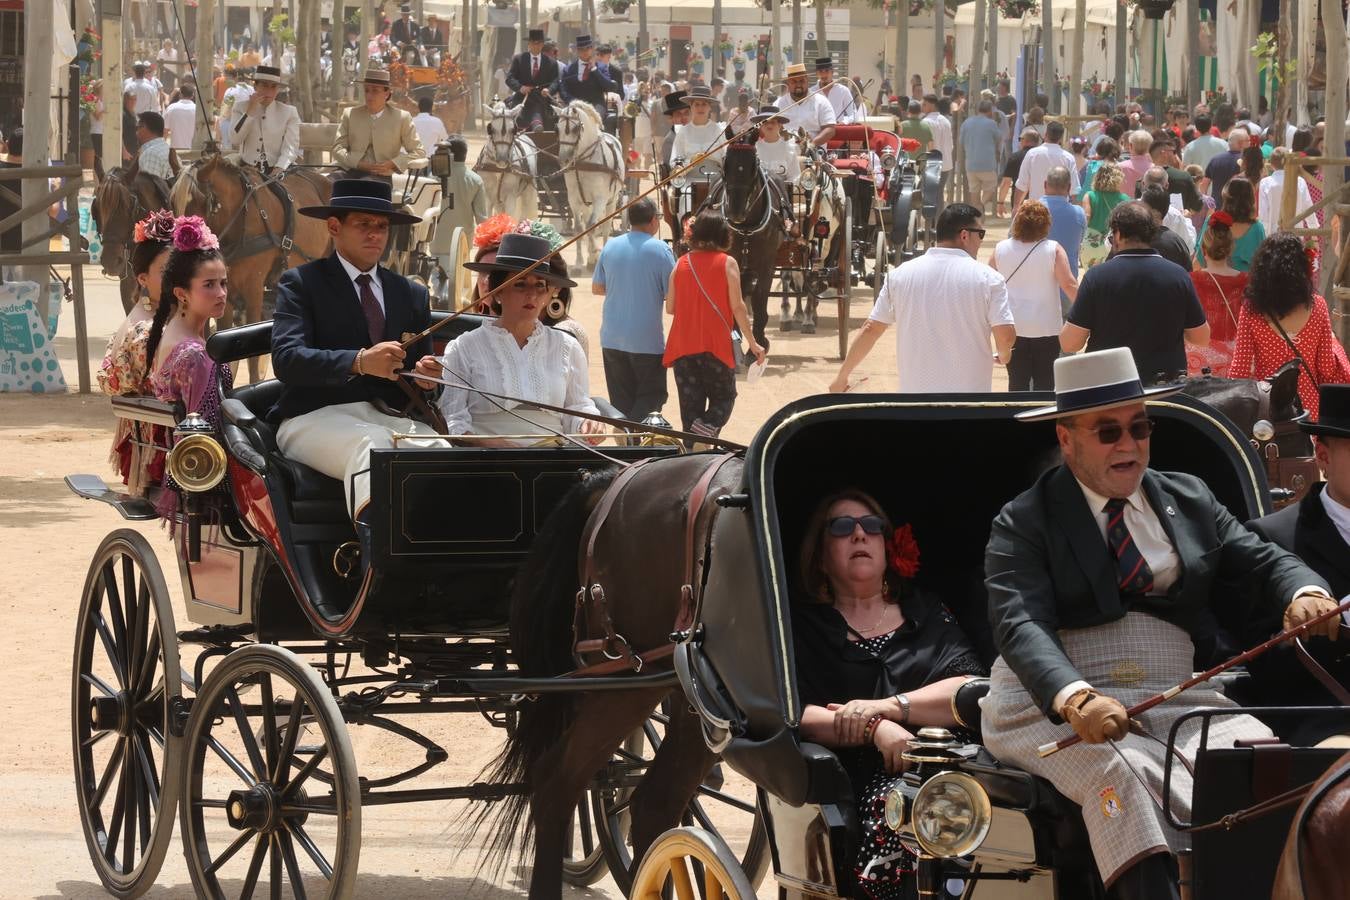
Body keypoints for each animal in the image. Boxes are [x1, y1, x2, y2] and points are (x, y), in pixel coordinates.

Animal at [553, 101, 626, 269]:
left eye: (575, 129)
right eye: (557, 129)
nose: (564, 159)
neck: (584, 161)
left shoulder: (600, 198)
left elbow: (593, 225)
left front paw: (595, 255)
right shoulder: (573, 198)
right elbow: (580, 228)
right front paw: (580, 260)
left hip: (611, 201)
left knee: (605, 226)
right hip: (586, 202)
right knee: (587, 221)